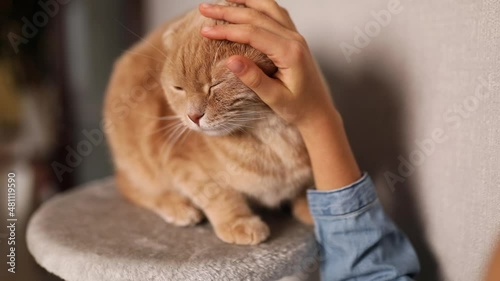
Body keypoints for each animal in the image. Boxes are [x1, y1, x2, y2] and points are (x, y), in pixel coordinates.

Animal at [103, 5, 310, 244]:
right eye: (178, 88)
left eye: (216, 84)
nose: (193, 116)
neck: (269, 135)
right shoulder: (180, 161)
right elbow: (217, 193)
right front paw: (238, 222)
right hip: (138, 163)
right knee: (133, 186)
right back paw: (178, 207)